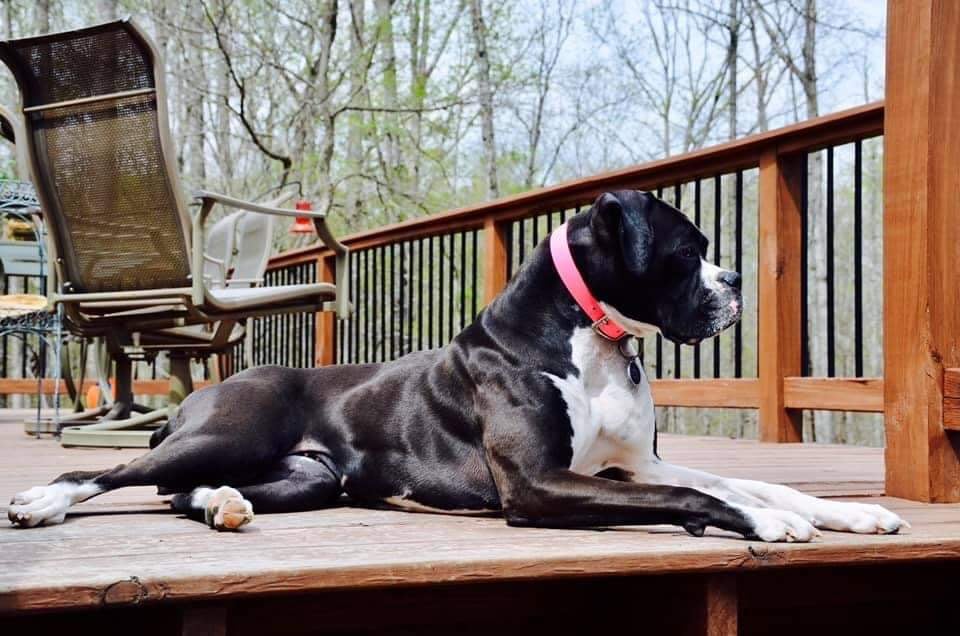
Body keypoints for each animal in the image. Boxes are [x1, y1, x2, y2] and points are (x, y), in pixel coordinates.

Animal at [9, 190, 908, 540]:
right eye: (688, 253)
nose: (735, 283)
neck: (593, 341)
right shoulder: (540, 486)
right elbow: (696, 495)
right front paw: (766, 525)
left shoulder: (630, 467)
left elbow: (746, 480)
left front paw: (850, 514)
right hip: (228, 431)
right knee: (115, 470)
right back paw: (40, 501)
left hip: (312, 477)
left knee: (180, 492)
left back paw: (226, 504)